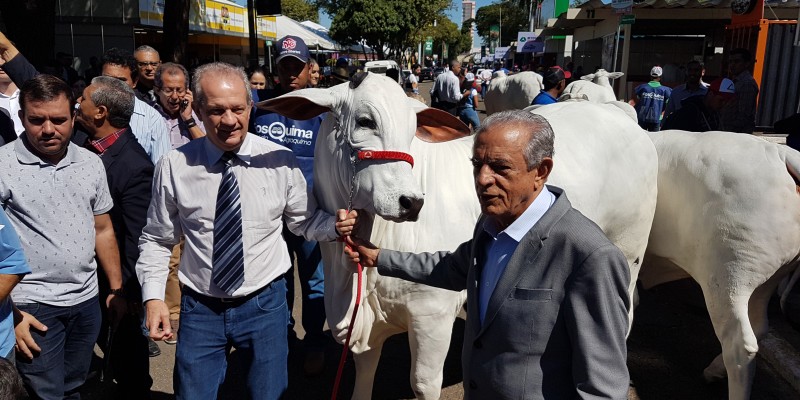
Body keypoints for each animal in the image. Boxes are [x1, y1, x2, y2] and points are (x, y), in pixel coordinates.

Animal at [644, 131, 800, 400]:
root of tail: (780, 153)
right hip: (766, 277)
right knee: (759, 325)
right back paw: (713, 371)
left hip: (729, 274)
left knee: (739, 345)